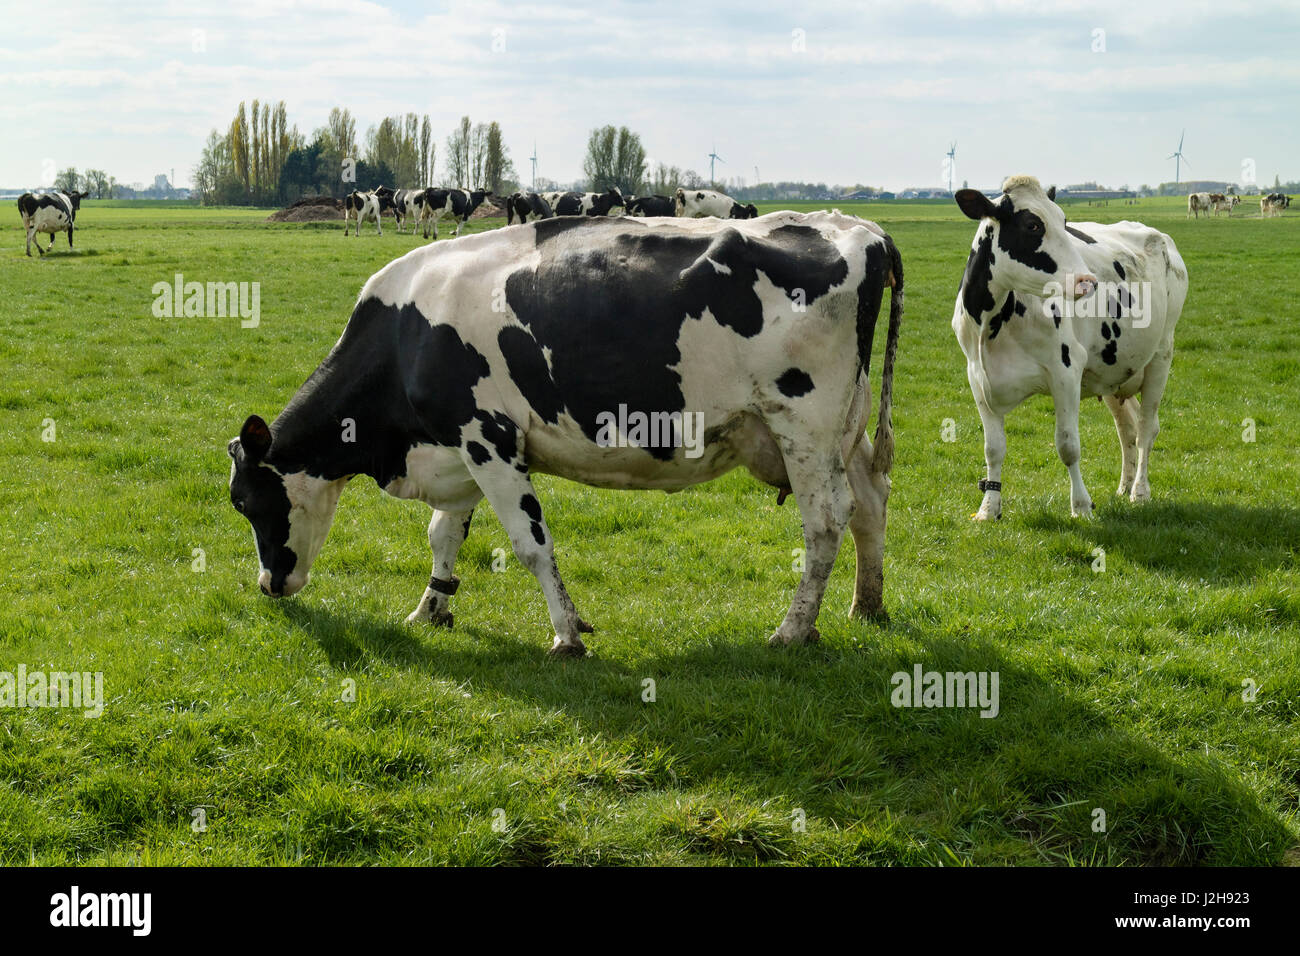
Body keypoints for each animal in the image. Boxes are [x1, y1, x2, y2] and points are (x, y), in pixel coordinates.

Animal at [227, 211, 904, 655]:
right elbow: (444, 535)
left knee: (826, 521)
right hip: (846, 429)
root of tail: (858, 228)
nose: (269, 585)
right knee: (871, 502)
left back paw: (793, 629)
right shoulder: (459, 446)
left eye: (245, 501)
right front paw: (431, 607)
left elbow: (530, 544)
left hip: (804, 427)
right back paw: (867, 604)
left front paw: (566, 634)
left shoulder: (488, 438)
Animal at [952, 175, 1188, 520]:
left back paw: (1139, 491)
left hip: (1161, 354)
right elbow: (993, 448)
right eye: (1033, 225)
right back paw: (1124, 485)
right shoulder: (977, 377)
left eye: (1064, 221)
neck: (991, 326)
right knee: (1127, 429)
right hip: (1113, 369)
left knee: (1146, 428)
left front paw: (1081, 506)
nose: (1086, 281)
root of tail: (1157, 234)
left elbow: (1068, 446)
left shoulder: (1065, 370)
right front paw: (988, 508)